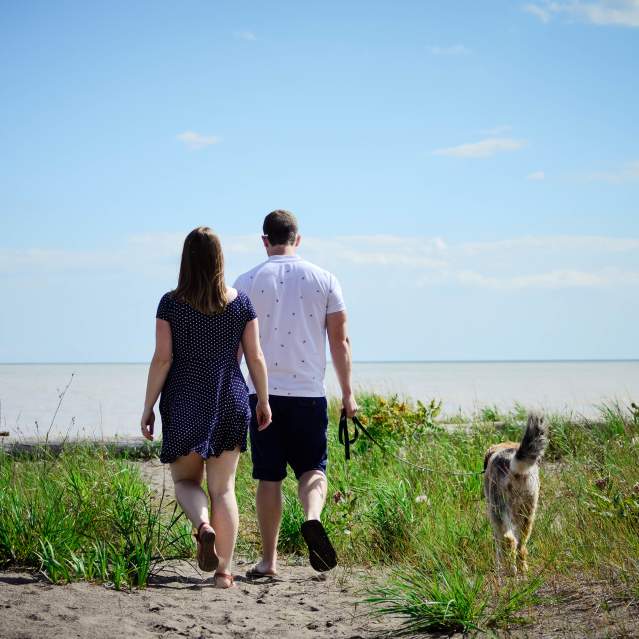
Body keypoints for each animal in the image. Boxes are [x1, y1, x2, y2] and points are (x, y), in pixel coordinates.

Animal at [484, 412, 552, 576]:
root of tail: (512, 464)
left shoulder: (494, 517)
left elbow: (498, 545)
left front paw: (498, 565)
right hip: (529, 512)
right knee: (521, 545)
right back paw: (522, 569)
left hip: (500, 510)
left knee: (509, 539)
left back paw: (511, 569)